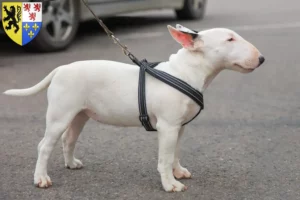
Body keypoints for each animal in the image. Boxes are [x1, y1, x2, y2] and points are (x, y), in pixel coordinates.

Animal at [2, 24, 264, 191]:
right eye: (229, 39)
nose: (261, 59)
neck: (185, 72)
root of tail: (59, 69)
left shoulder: (179, 127)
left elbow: (175, 153)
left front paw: (178, 172)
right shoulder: (167, 127)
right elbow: (164, 158)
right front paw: (171, 185)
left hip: (79, 115)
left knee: (69, 139)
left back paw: (72, 163)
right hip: (60, 115)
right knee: (44, 145)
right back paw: (41, 178)